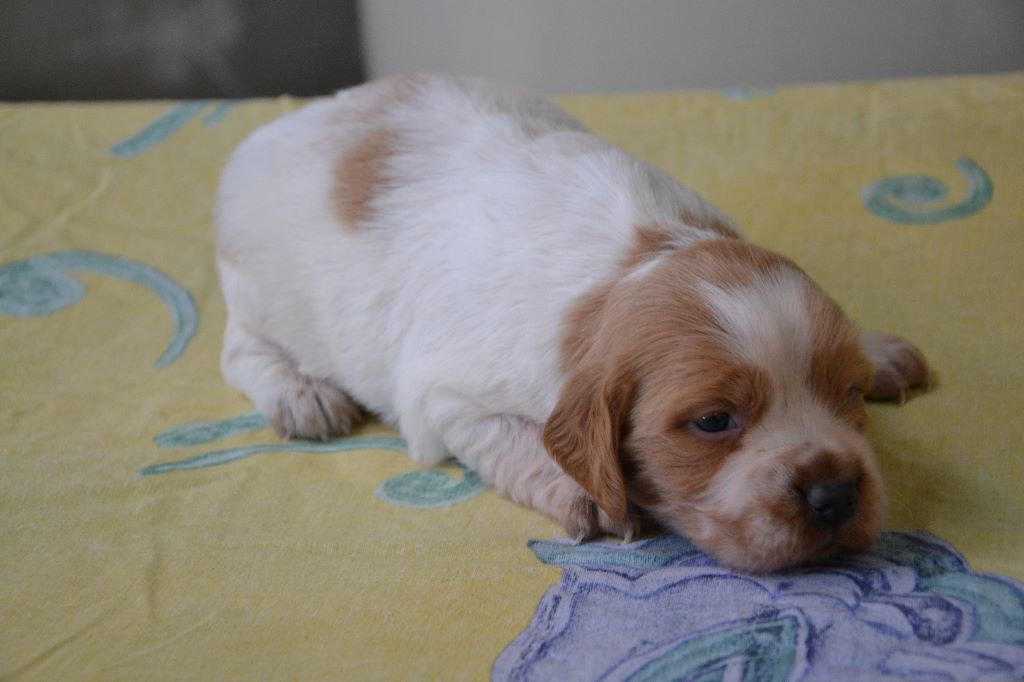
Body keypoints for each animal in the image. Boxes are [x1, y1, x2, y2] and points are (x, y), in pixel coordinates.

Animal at [216, 74, 929, 569]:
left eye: (847, 391)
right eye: (713, 422)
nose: (835, 495)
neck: (632, 265)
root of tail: (289, 119)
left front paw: (876, 349)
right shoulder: (447, 399)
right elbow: (519, 440)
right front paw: (582, 493)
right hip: (260, 291)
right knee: (240, 352)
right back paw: (303, 394)